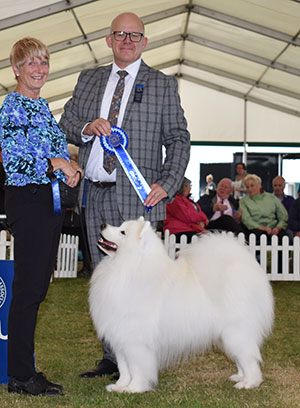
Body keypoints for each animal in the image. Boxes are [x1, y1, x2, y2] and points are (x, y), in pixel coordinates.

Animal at [89, 218, 274, 394]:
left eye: (123, 232)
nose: (103, 224)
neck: (128, 267)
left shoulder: (136, 342)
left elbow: (137, 368)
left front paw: (135, 388)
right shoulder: (120, 338)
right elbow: (124, 368)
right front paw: (119, 386)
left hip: (236, 331)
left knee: (249, 358)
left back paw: (249, 383)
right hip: (228, 335)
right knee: (241, 357)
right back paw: (239, 377)